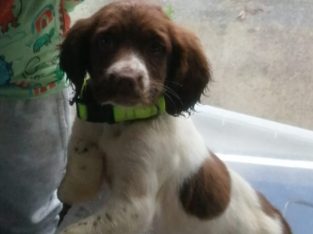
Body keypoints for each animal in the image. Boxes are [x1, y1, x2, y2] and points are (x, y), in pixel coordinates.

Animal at [58, 0, 290, 233]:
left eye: (156, 47)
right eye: (105, 41)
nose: (125, 79)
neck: (121, 121)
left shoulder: (134, 207)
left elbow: (72, 229)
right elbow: (71, 182)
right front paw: (84, 155)